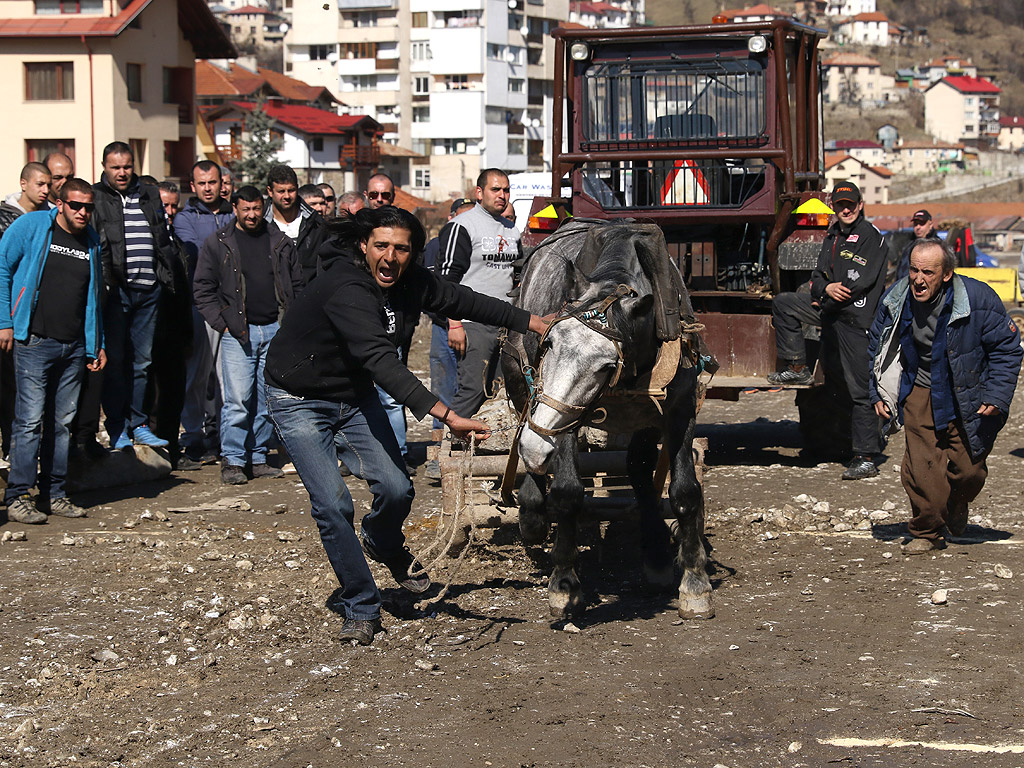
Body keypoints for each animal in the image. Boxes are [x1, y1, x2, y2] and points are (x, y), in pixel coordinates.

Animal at [501, 219, 712, 622]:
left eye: (605, 365)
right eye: (549, 343)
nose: (535, 446)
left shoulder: (679, 408)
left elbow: (684, 491)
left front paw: (695, 583)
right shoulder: (564, 418)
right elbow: (567, 491)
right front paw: (564, 583)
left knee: (639, 468)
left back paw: (657, 556)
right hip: (519, 382)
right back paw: (532, 514)